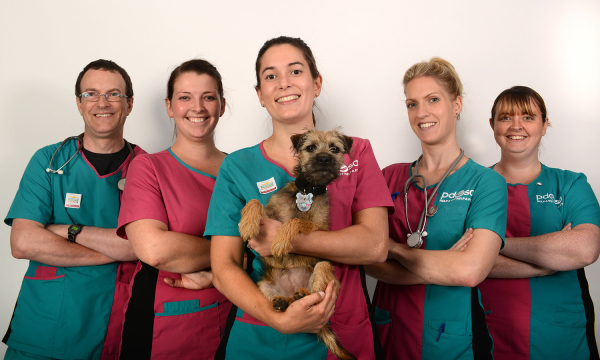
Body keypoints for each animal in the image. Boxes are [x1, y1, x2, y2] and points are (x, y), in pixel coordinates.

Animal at [238, 129, 356, 360]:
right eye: (310, 148)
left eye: (334, 148)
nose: (324, 159)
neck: (307, 189)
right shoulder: (270, 214)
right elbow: (255, 202)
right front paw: (248, 223)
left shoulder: (319, 228)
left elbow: (297, 221)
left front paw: (281, 239)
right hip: (264, 285)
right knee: (287, 302)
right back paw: (284, 302)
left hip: (323, 268)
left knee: (316, 298)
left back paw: (303, 295)